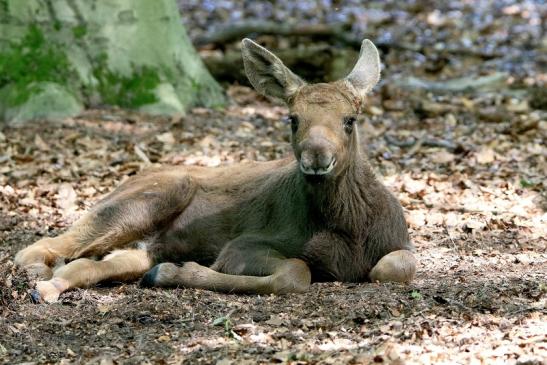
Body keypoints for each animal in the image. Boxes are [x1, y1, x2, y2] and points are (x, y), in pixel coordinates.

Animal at [15, 39, 418, 302]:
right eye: (293, 119)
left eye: (350, 120)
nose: (316, 158)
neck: (348, 226)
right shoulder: (242, 245)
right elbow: (295, 271)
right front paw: (175, 273)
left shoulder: (400, 243)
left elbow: (396, 267)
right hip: (150, 197)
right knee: (42, 247)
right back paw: (40, 275)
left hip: (143, 243)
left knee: (94, 262)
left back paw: (51, 286)